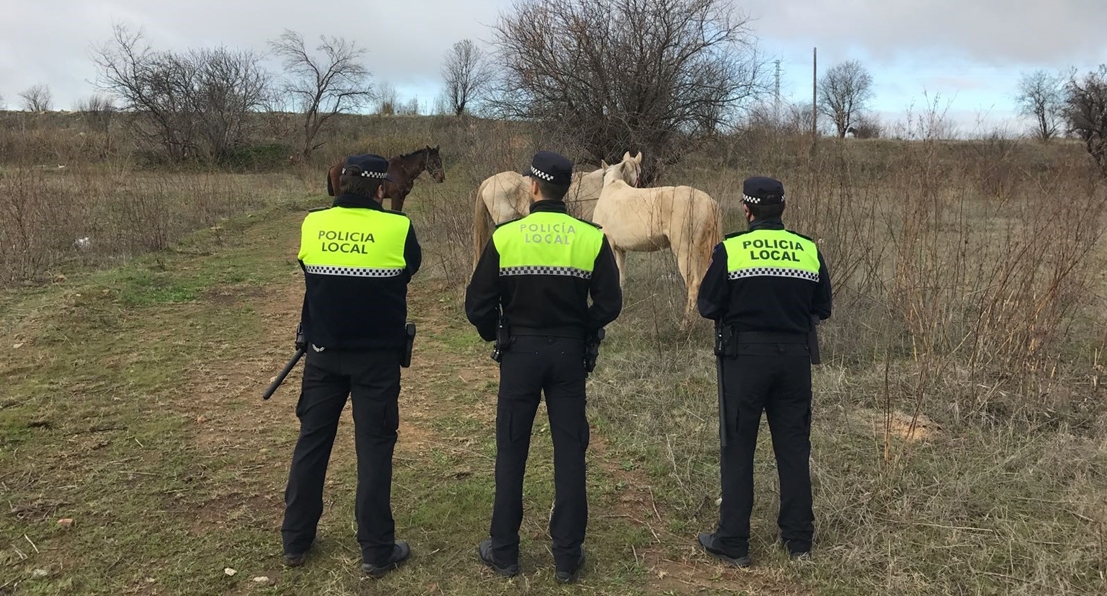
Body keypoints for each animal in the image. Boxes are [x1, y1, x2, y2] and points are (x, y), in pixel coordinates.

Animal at [593, 159, 721, 323]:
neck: (612, 185)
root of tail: (709, 203)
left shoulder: (608, 243)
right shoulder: (621, 249)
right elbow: (621, 276)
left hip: (686, 251)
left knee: (693, 284)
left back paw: (685, 323)